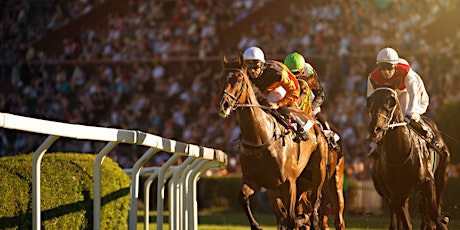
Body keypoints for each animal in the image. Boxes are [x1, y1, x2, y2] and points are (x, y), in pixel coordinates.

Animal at [218, 53, 328, 228]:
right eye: (221, 80)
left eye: (239, 80)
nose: (224, 105)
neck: (260, 139)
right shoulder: (254, 180)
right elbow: (242, 198)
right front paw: (256, 225)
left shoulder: (289, 182)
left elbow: (291, 218)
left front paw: (300, 219)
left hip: (318, 172)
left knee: (314, 206)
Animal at [368, 87, 452, 229]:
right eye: (370, 103)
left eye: (390, 103)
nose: (375, 129)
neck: (400, 154)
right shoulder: (396, 196)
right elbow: (407, 223)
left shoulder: (428, 181)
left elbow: (434, 214)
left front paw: (442, 221)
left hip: (443, 175)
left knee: (431, 207)